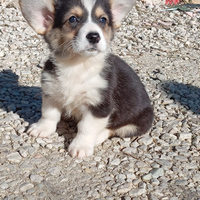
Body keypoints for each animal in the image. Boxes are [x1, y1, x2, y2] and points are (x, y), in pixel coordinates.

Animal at [19, 0, 154, 158]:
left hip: (137, 123)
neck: (77, 65)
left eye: (103, 20)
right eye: (73, 19)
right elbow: (48, 114)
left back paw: (99, 136)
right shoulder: (51, 92)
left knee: (115, 129)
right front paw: (41, 128)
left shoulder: (99, 105)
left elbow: (87, 127)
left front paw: (80, 146)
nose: (94, 36)